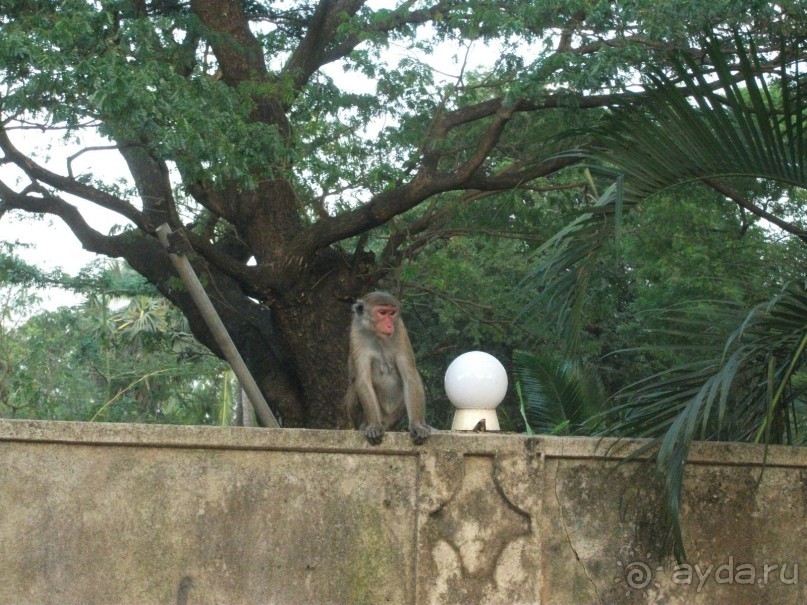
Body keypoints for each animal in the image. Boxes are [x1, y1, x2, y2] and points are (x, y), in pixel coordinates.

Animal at [346, 290, 432, 446]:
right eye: (382, 313)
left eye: (392, 313)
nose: (389, 325)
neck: (377, 335)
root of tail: (386, 421)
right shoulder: (356, 334)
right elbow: (363, 379)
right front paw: (374, 426)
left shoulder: (400, 329)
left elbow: (410, 375)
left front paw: (417, 425)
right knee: (355, 386)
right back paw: (365, 425)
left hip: (395, 414)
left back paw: (423, 424)